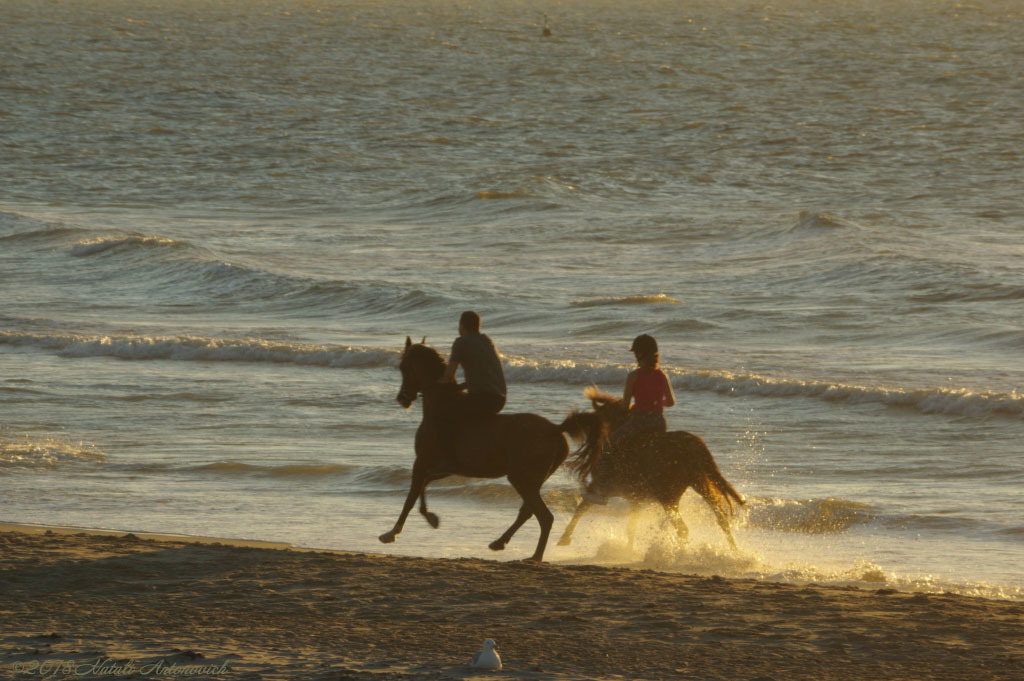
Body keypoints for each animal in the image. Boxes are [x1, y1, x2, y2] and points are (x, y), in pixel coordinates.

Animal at [380, 337, 602, 561]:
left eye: (404, 367)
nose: (402, 398)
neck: (441, 407)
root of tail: (556, 429)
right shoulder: (444, 468)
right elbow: (422, 486)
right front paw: (425, 519)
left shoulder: (424, 462)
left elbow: (413, 495)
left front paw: (397, 531)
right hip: (533, 480)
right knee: (528, 512)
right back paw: (501, 543)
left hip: (521, 479)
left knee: (544, 516)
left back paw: (535, 556)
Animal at [561, 385, 745, 548]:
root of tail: (693, 444)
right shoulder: (635, 499)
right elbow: (631, 527)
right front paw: (628, 550)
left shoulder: (602, 488)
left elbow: (582, 507)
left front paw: (564, 538)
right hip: (699, 486)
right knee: (721, 520)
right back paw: (734, 552)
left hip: (668, 498)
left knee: (683, 529)